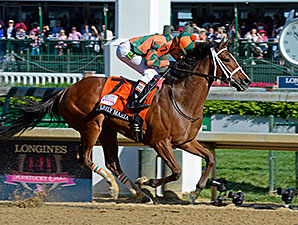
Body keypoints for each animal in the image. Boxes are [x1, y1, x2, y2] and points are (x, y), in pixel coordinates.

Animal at [0, 38, 251, 204]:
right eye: (226, 58)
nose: (246, 81)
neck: (181, 98)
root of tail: (65, 90)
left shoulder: (184, 141)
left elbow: (209, 157)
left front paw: (196, 191)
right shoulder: (160, 142)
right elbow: (177, 171)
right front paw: (147, 181)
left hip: (107, 131)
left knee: (113, 162)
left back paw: (140, 194)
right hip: (91, 125)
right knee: (84, 157)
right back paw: (114, 186)